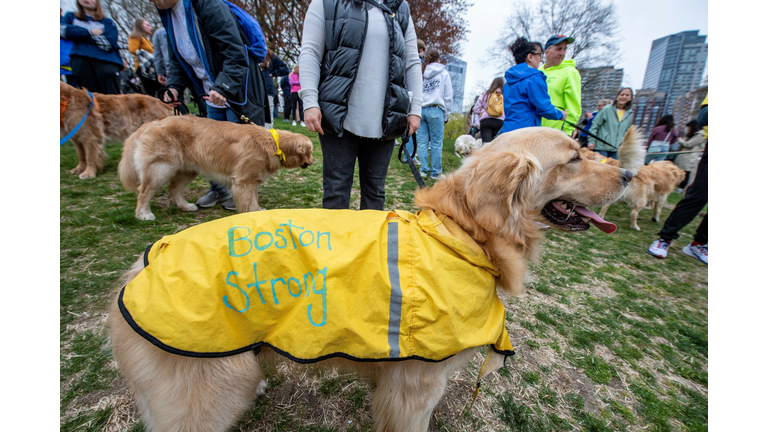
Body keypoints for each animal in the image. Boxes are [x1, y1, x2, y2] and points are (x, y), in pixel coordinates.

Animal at [109, 127, 632, 432]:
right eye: (573, 158)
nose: (628, 174)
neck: (462, 235)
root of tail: (146, 263)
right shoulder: (419, 386)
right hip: (207, 394)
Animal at [118, 115, 316, 219]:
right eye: (311, 151)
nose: (314, 160)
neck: (274, 144)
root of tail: (151, 123)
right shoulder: (243, 181)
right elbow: (249, 203)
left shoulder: (251, 180)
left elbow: (254, 200)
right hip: (161, 168)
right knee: (144, 191)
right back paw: (144, 214)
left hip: (188, 170)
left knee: (173, 188)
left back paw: (186, 206)